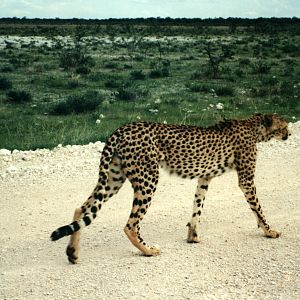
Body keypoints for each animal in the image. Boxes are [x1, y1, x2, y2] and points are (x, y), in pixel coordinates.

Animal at [51, 112, 290, 262]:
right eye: (285, 126)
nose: (289, 134)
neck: (254, 127)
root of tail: (122, 128)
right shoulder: (246, 179)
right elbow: (258, 208)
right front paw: (270, 231)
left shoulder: (205, 177)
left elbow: (197, 206)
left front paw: (193, 236)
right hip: (148, 178)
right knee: (131, 224)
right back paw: (148, 250)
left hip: (114, 178)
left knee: (82, 209)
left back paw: (72, 253)